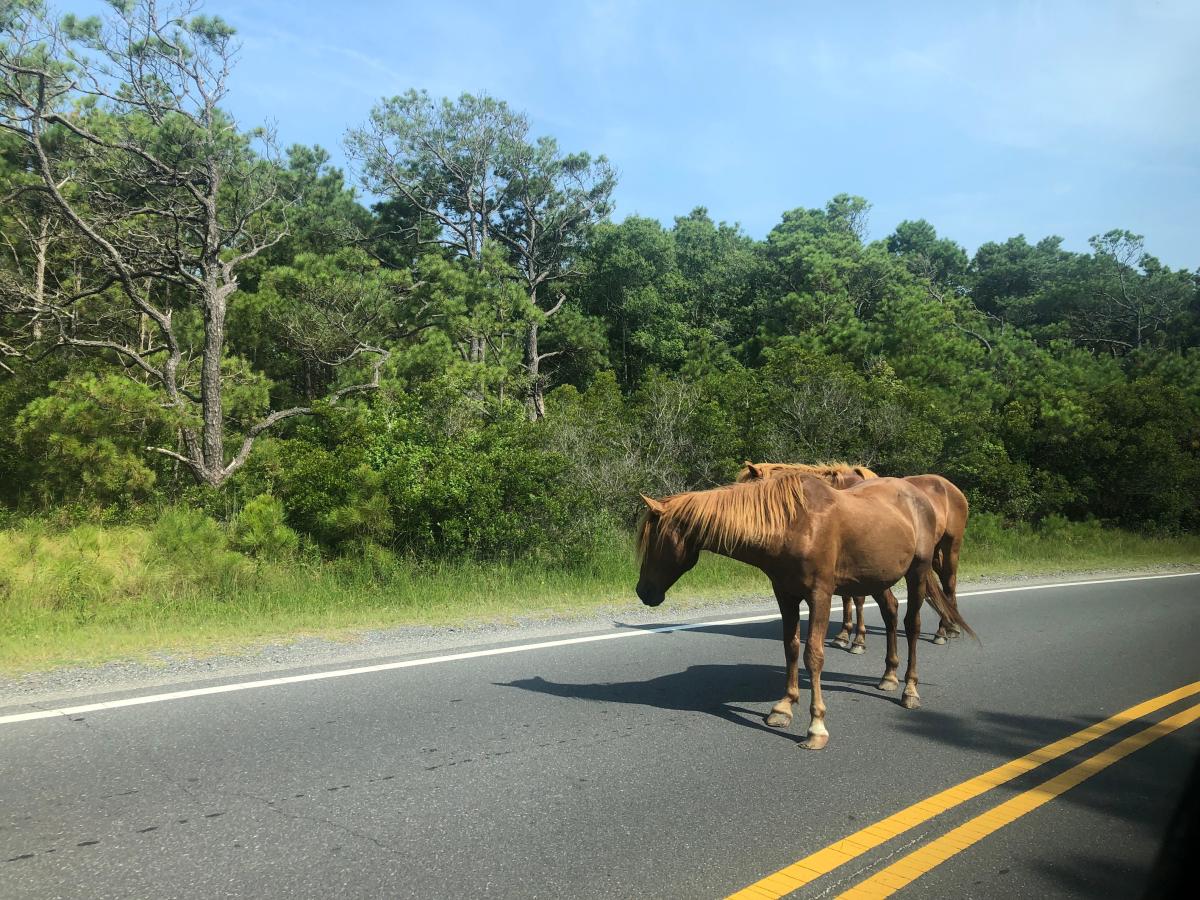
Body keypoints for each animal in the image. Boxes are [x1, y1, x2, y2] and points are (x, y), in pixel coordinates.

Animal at [734, 465, 969, 648]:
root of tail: (951, 488)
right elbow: (848, 597)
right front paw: (844, 635)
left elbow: (858, 598)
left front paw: (858, 640)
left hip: (951, 546)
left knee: (949, 582)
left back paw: (946, 631)